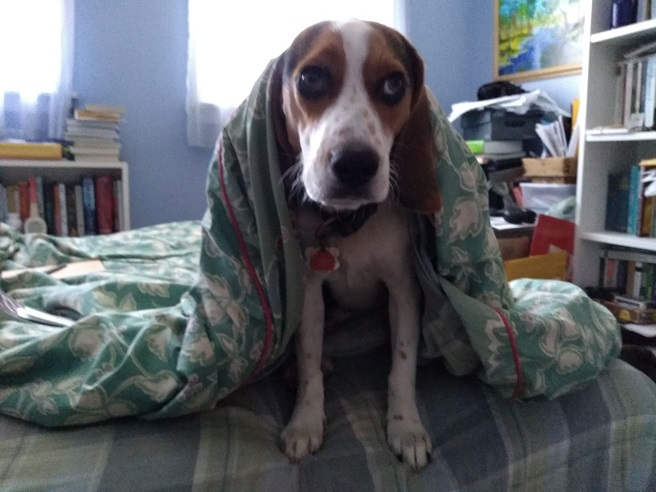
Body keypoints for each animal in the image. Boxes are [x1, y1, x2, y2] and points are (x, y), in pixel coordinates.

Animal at [272, 20, 440, 472]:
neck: (349, 224)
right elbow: (309, 365)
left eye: (394, 84)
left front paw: (406, 427)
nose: (355, 164)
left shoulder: (404, 290)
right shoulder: (310, 295)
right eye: (310, 79)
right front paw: (304, 422)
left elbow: (402, 367)